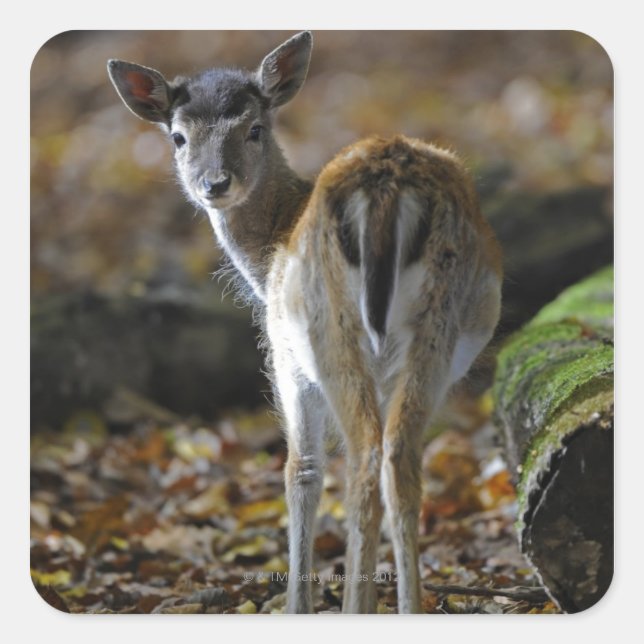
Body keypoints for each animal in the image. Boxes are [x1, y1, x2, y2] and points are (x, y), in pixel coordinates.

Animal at [108, 31, 502, 614]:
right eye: (178, 137)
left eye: (254, 128)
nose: (214, 183)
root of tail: (386, 190)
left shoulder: (285, 358)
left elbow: (301, 469)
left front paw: (298, 604)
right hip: (436, 330)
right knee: (399, 457)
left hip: (326, 329)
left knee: (361, 459)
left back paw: (355, 607)